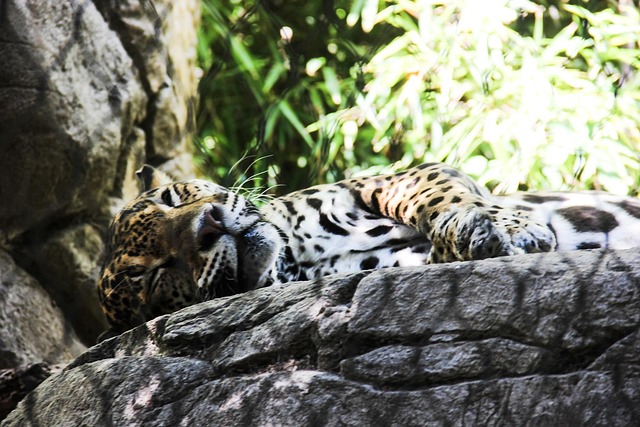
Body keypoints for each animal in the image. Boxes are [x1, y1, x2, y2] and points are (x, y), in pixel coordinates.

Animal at [98, 162, 640, 339]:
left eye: (172, 198)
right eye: (152, 275)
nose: (208, 225)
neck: (298, 255)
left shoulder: (391, 179)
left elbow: (440, 199)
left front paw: (503, 225)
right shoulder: (401, 262)